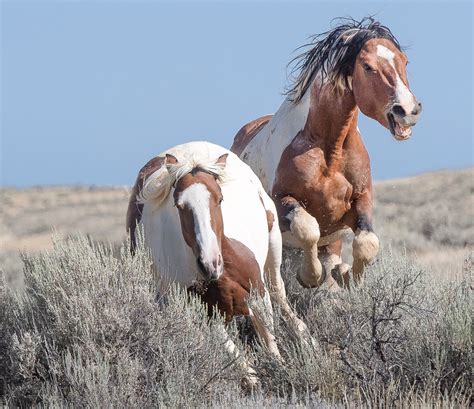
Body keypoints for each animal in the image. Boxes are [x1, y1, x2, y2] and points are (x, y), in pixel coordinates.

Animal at [128, 142, 310, 384]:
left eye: (219, 198)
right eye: (179, 205)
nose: (210, 263)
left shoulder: (258, 294)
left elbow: (270, 341)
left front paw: (281, 370)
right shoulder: (206, 315)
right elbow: (240, 361)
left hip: (273, 248)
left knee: (278, 291)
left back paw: (304, 336)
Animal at [231, 16, 420, 290]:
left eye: (404, 61)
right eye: (367, 66)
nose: (407, 110)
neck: (330, 152)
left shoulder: (360, 201)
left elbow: (367, 243)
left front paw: (345, 275)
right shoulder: (282, 200)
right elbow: (307, 227)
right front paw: (310, 276)